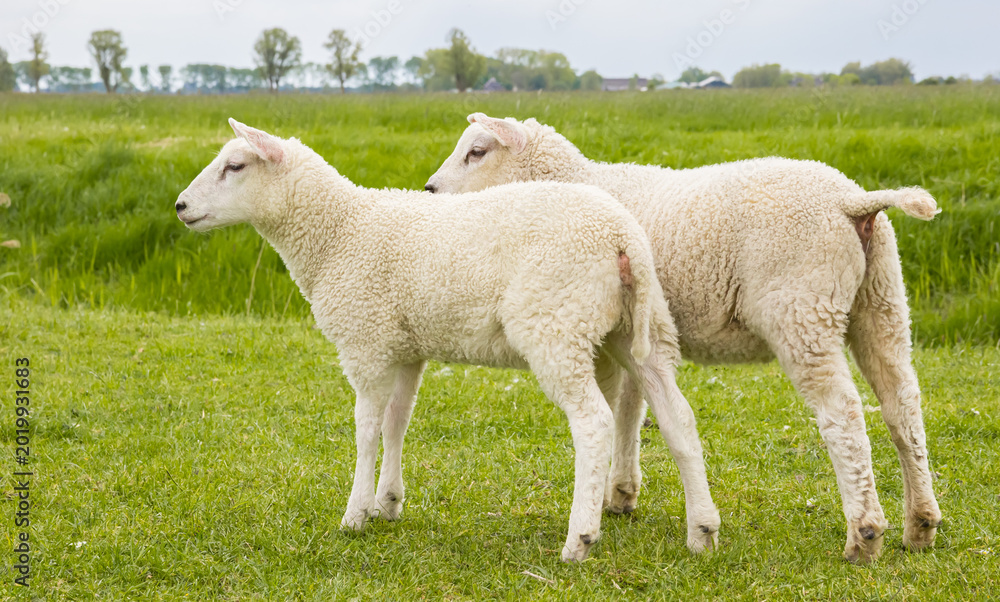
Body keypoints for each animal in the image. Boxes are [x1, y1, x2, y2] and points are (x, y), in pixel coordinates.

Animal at [174, 119, 721, 562]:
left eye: (235, 165)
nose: (179, 206)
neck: (339, 233)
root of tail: (621, 236)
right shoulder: (404, 348)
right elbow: (397, 423)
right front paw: (388, 502)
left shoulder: (365, 342)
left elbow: (366, 430)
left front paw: (354, 515)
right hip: (635, 329)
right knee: (678, 417)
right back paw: (702, 530)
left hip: (555, 326)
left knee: (594, 423)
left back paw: (579, 539)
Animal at [424, 113, 943, 563]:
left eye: (476, 151)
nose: (429, 191)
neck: (583, 179)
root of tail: (852, 202)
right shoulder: (633, 330)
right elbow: (630, 410)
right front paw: (622, 493)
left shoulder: (605, 332)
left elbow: (612, 406)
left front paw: (610, 496)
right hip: (881, 303)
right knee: (902, 403)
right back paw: (920, 524)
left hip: (801, 312)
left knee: (843, 414)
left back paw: (865, 534)